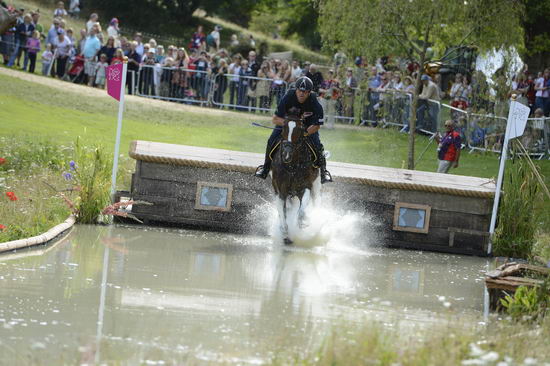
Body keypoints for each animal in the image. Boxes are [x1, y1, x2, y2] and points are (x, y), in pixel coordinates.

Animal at [272, 116, 324, 244]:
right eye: (283, 127)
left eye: (300, 129)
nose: (286, 155)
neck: (292, 167)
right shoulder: (281, 192)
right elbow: (283, 213)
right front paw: (285, 232)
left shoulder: (305, 187)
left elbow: (301, 212)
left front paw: (304, 222)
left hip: (316, 186)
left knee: (316, 200)